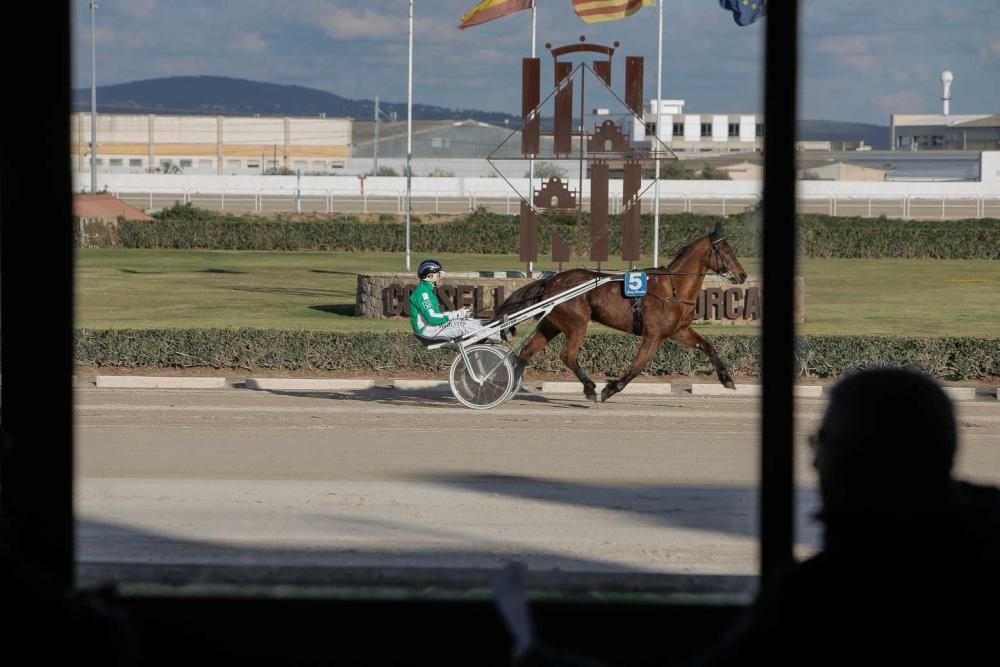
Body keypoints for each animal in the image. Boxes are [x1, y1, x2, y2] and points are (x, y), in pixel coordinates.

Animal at [496, 223, 748, 402]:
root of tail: (550, 282)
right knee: (567, 355)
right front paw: (609, 389)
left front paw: (727, 380)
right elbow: (637, 366)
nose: (743, 275)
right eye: (723, 250)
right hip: (577, 324)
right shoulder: (654, 335)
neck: (673, 288)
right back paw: (589, 388)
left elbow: (708, 346)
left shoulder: (678, 330)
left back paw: (507, 385)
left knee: (526, 352)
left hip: (552, 325)